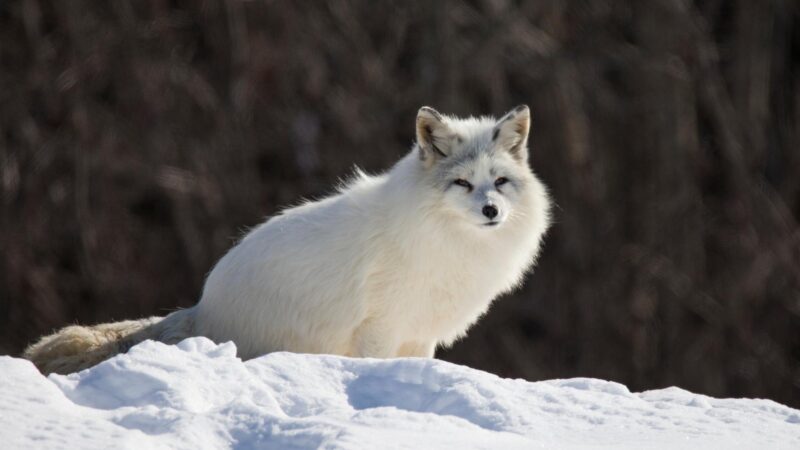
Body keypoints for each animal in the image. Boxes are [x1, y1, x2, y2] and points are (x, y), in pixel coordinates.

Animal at [23, 104, 552, 372]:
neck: (445, 242)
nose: (491, 211)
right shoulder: (380, 329)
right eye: (462, 183)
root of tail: (202, 309)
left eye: (500, 182)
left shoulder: (419, 333)